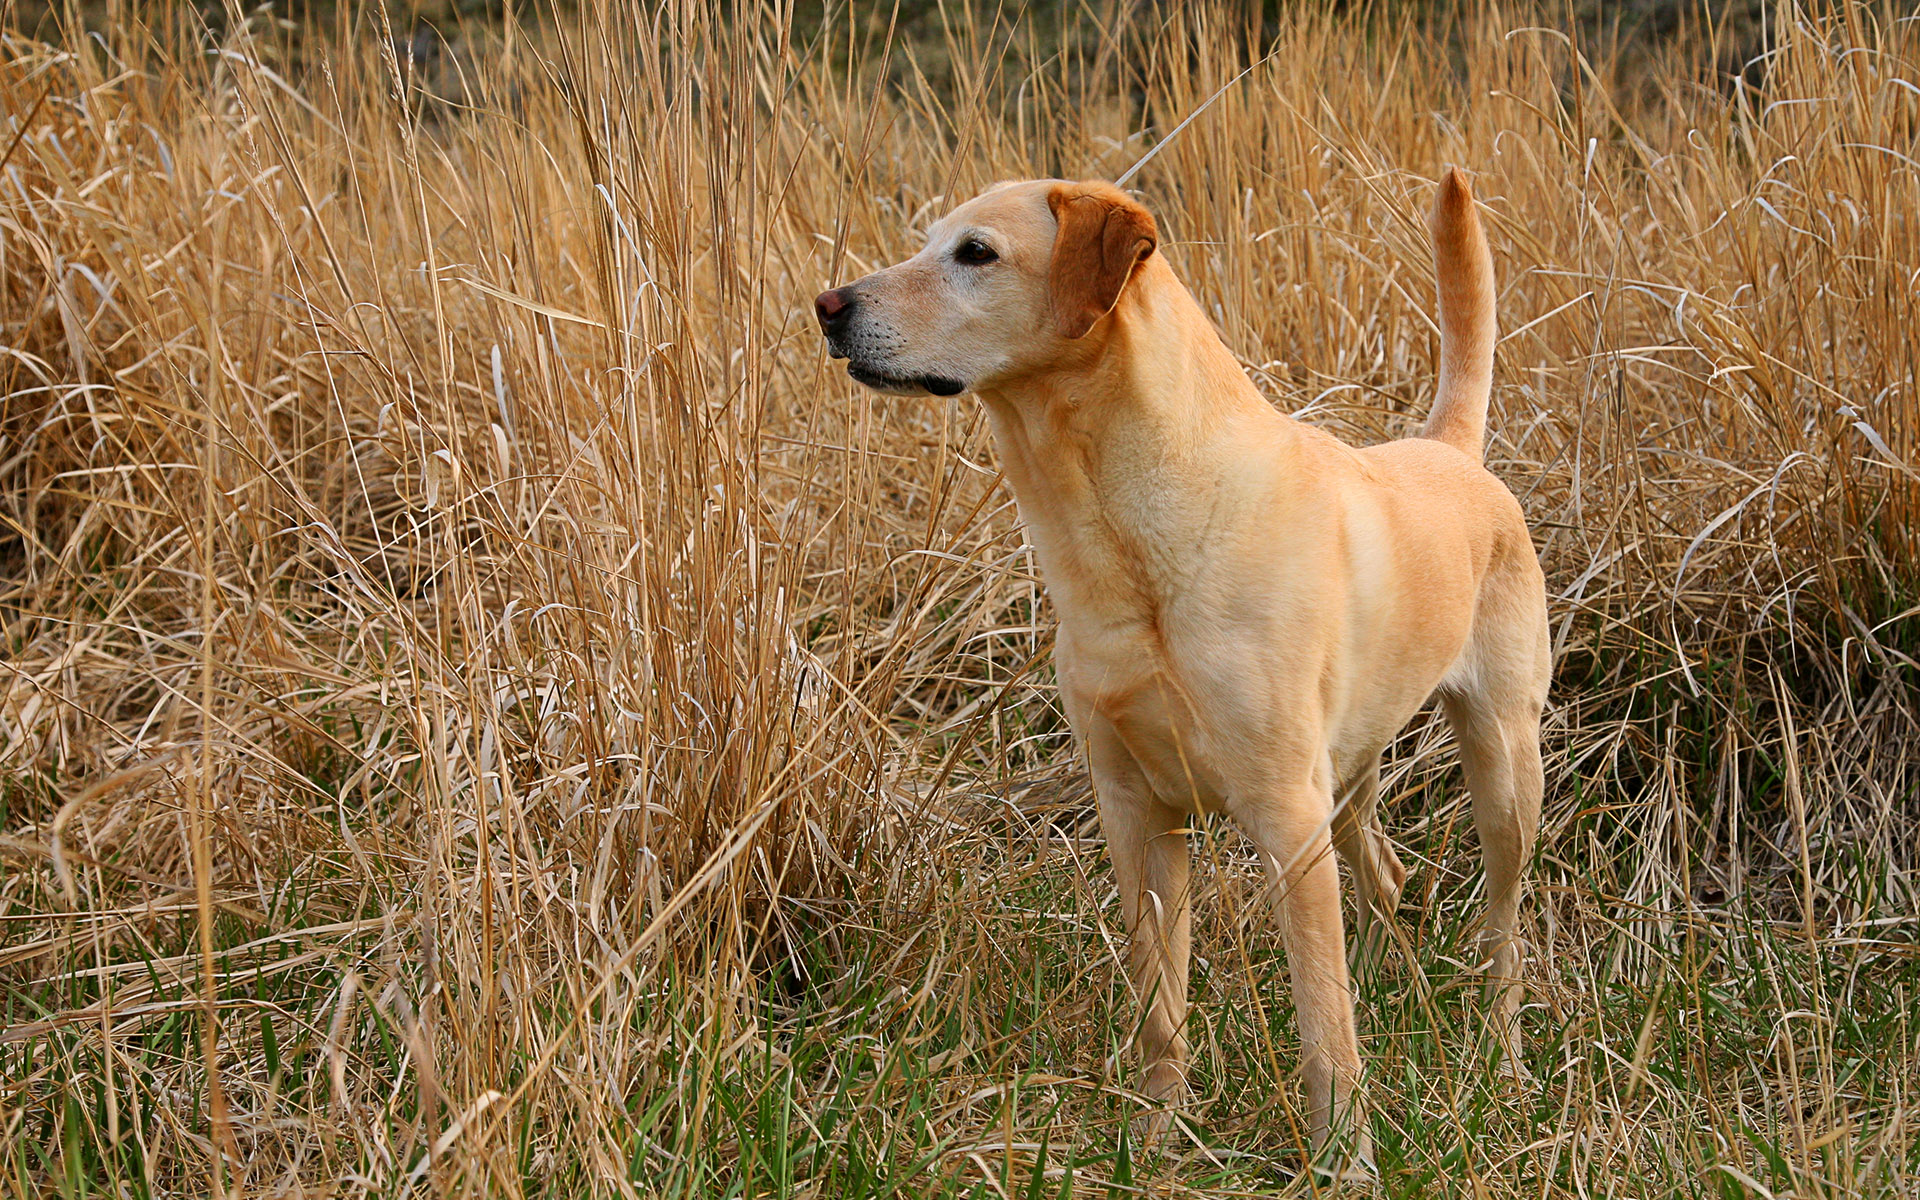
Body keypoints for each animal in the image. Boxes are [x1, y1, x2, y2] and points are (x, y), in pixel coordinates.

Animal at [817, 172, 1551, 1175]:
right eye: (927, 242)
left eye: (975, 253)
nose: (828, 306)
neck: (1128, 536)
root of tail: (1450, 451)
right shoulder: (1136, 813)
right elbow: (1160, 1006)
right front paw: (1156, 1137)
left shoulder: (1283, 813)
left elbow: (1322, 1022)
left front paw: (1344, 1157)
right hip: (1349, 779)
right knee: (1386, 879)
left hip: (1504, 770)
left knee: (1503, 932)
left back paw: (1505, 1067)